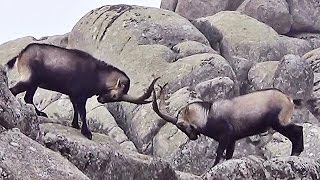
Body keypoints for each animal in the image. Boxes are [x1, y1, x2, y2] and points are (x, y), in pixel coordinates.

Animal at [4, 43, 159, 139]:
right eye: (115, 95)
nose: (100, 100)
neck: (98, 75)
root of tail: (21, 54)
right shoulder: (81, 96)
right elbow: (83, 113)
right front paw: (87, 132)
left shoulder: (73, 95)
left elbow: (75, 110)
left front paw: (75, 125)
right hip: (29, 79)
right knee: (14, 91)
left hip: (34, 84)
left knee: (28, 98)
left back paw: (40, 113)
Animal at [152, 87, 304, 166]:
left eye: (180, 124)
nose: (193, 137)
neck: (207, 115)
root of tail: (289, 99)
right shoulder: (232, 139)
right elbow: (229, 155)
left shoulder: (225, 136)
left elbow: (219, 152)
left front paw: (213, 167)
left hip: (279, 122)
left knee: (298, 130)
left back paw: (295, 153)